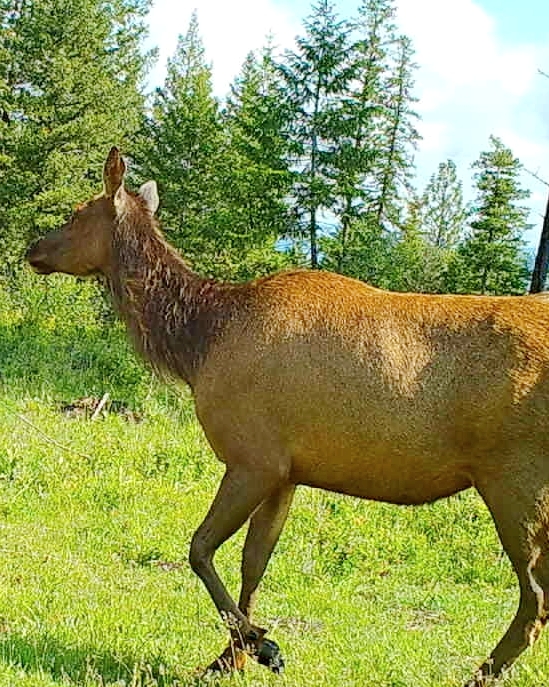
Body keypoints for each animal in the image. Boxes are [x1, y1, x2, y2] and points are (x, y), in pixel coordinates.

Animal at [26, 147, 549, 686]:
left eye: (75, 213)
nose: (32, 248)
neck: (198, 345)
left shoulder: (253, 458)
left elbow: (200, 548)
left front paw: (261, 646)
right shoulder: (287, 471)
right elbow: (253, 564)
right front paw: (232, 655)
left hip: (516, 476)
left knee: (535, 597)